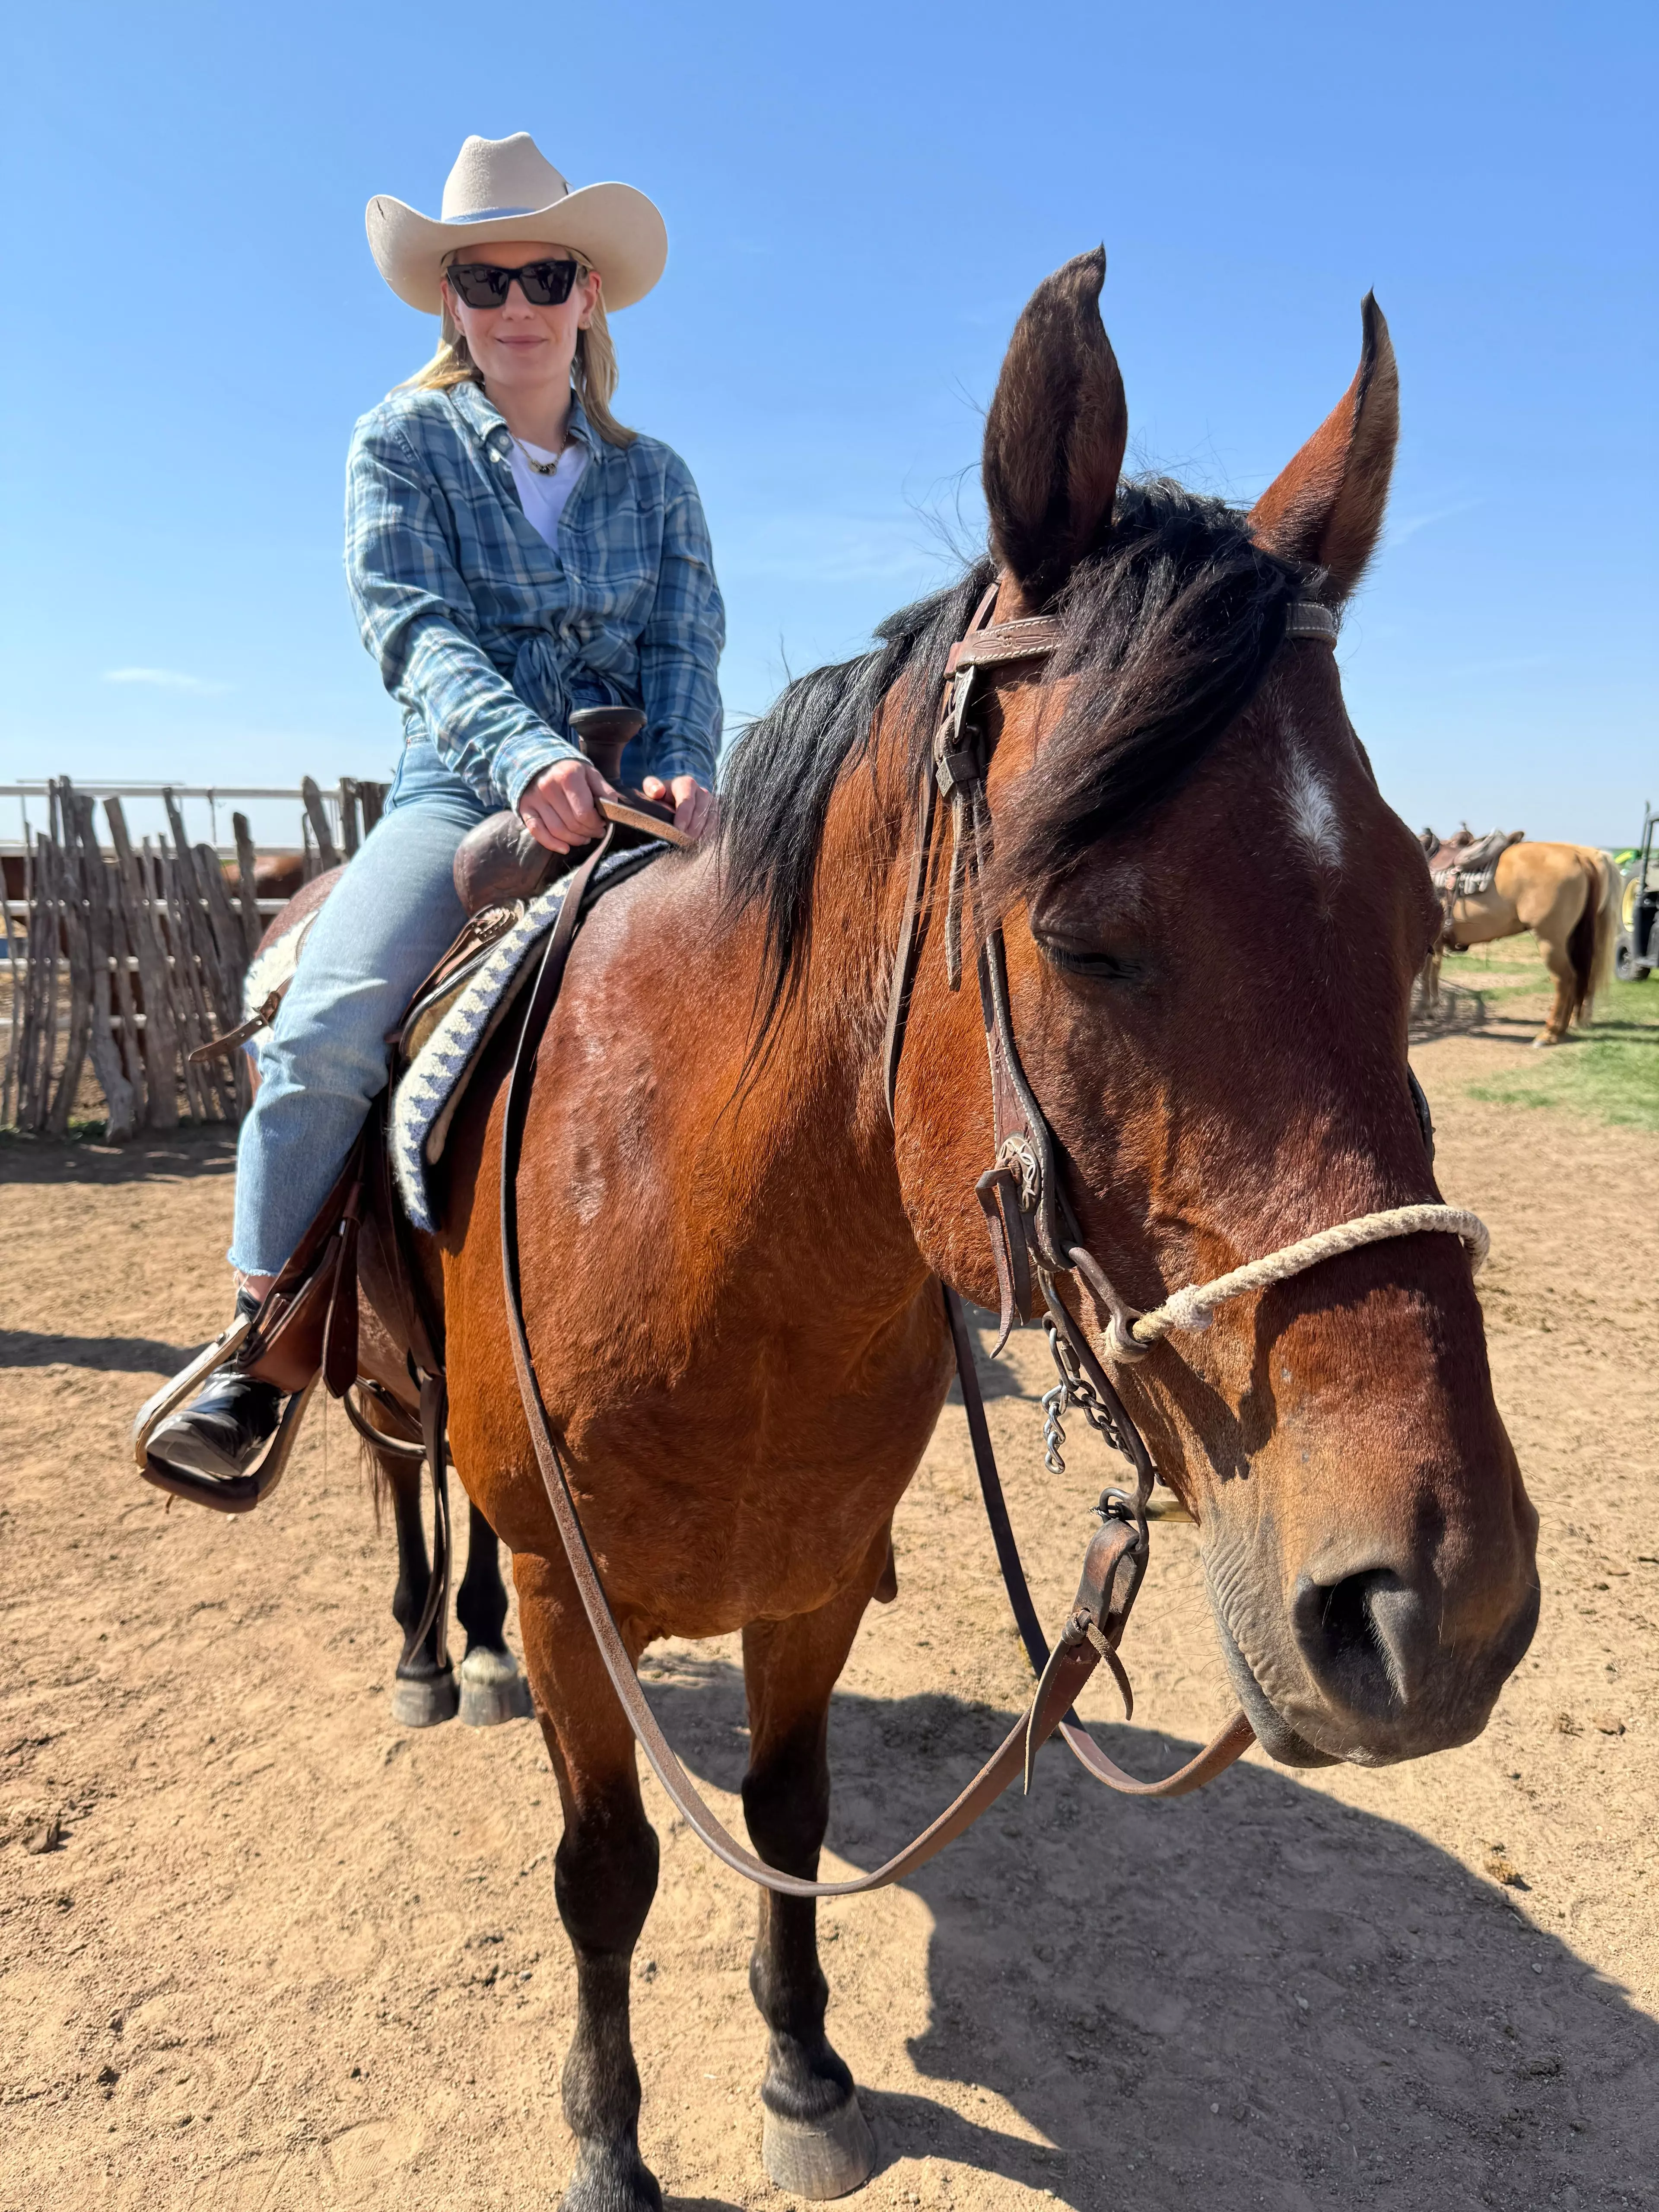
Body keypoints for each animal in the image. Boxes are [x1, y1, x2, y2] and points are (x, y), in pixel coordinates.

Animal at [258, 251, 1537, 2211]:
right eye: (1081, 932)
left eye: (1414, 916)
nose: (1437, 1599)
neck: (706, 1244)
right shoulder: (572, 1594)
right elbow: (604, 1872)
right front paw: (609, 2139)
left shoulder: (806, 1579)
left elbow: (787, 1818)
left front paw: (803, 2071)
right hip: (381, 1392)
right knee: (404, 1483)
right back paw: (424, 1652)